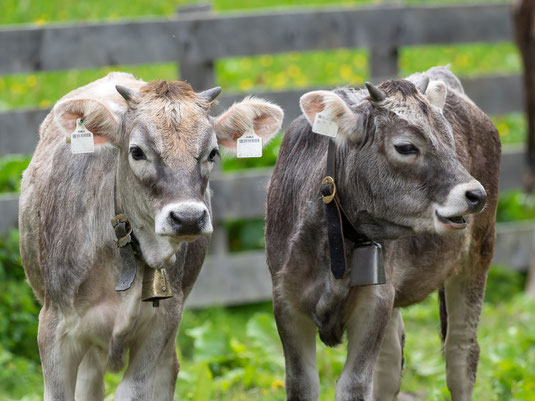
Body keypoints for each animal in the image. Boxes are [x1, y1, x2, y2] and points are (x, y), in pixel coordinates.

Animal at [18, 72, 282, 400]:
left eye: (212, 153)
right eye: (137, 151)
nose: (188, 217)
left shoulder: (161, 325)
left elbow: (134, 390)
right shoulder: (55, 327)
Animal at [268, 67, 502, 398]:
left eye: (450, 140)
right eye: (405, 147)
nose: (476, 195)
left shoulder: (374, 303)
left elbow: (353, 385)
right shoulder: (286, 302)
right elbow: (302, 384)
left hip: (478, 254)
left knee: (460, 354)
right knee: (390, 364)